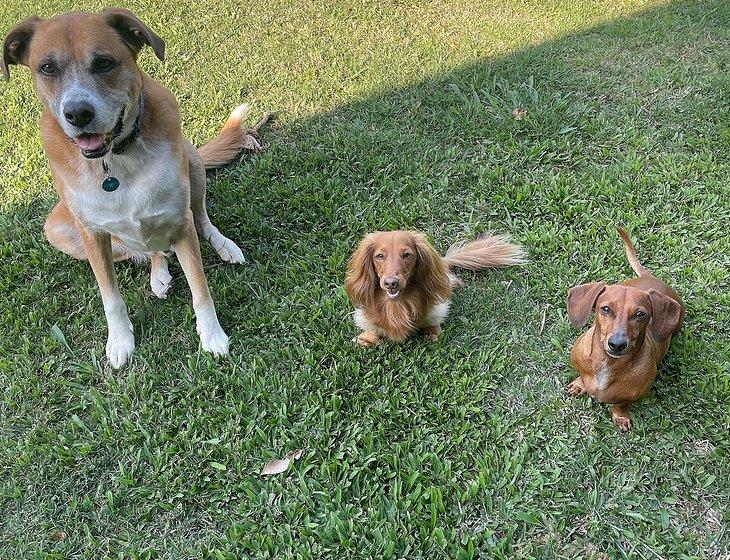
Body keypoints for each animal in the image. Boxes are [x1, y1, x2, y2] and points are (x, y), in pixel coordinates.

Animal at [3, 10, 264, 368]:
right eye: (46, 68)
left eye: (103, 63)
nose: (78, 113)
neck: (114, 160)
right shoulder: (93, 235)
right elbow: (110, 297)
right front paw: (120, 341)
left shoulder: (180, 223)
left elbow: (200, 288)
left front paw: (212, 336)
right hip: (58, 229)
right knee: (151, 250)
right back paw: (159, 274)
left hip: (193, 163)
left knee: (201, 218)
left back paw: (223, 246)